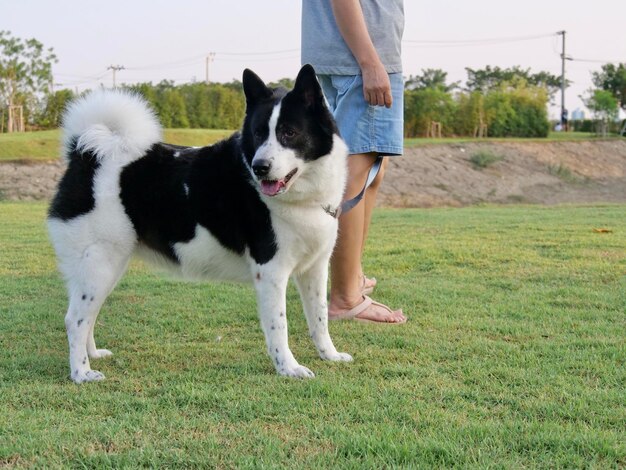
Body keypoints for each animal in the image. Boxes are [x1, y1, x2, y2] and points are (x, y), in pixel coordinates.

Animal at [48, 65, 352, 382]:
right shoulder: (271, 272)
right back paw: (81, 372)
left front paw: (329, 355)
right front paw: (288, 368)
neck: (301, 197)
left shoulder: (315, 269)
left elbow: (319, 317)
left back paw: (93, 355)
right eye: (258, 134)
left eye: (289, 133)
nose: (259, 167)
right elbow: (279, 327)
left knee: (88, 315)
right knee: (75, 319)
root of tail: (85, 153)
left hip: (106, 266)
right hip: (100, 263)